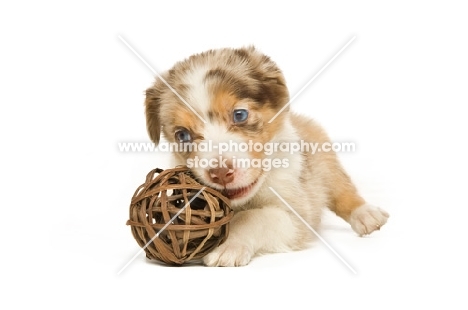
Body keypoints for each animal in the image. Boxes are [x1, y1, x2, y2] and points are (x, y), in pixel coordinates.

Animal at [144, 46, 390, 266]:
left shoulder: (295, 212)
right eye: (182, 135)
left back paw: (367, 215)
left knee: (342, 190)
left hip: (326, 162)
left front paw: (228, 247)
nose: (221, 174)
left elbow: (254, 217)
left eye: (240, 115)